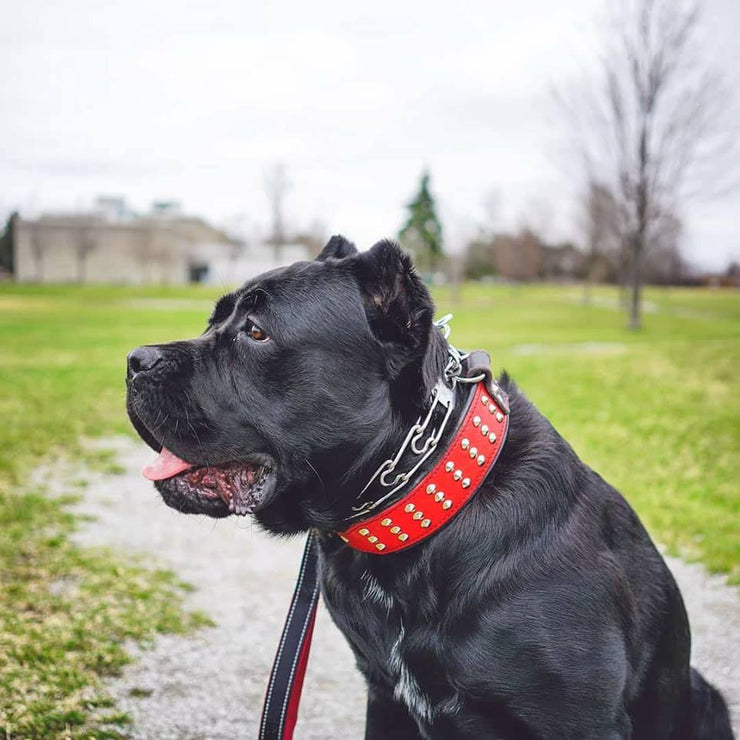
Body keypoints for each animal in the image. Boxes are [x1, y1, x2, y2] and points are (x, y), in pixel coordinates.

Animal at [127, 238, 736, 740]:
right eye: (214, 321)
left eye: (256, 330)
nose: (135, 360)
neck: (421, 504)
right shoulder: (385, 695)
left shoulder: (578, 722)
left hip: (706, 696)